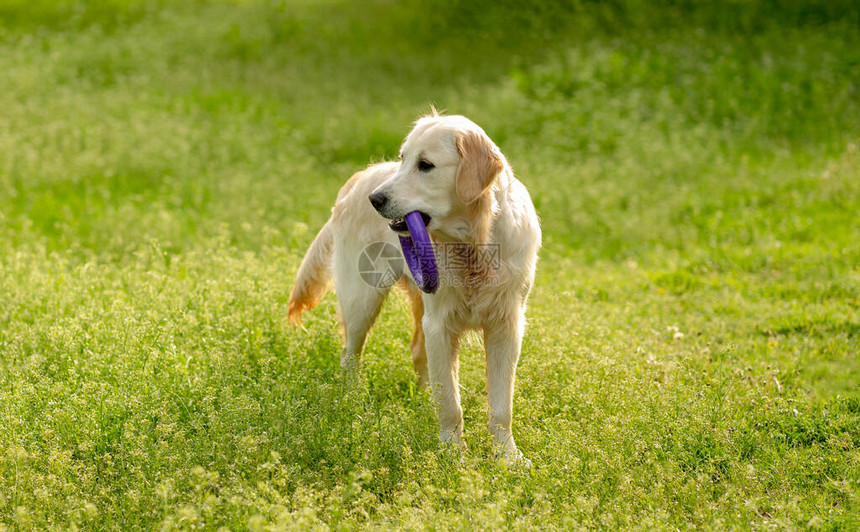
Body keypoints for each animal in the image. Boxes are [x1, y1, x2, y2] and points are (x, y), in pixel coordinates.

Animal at [290, 112, 544, 462]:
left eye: (425, 165)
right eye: (403, 158)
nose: (375, 200)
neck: (473, 244)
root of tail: (359, 179)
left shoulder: (506, 326)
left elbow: (500, 405)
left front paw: (507, 456)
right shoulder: (440, 324)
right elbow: (451, 403)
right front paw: (454, 455)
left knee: (419, 356)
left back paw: (423, 402)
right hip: (362, 301)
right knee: (350, 354)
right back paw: (351, 399)